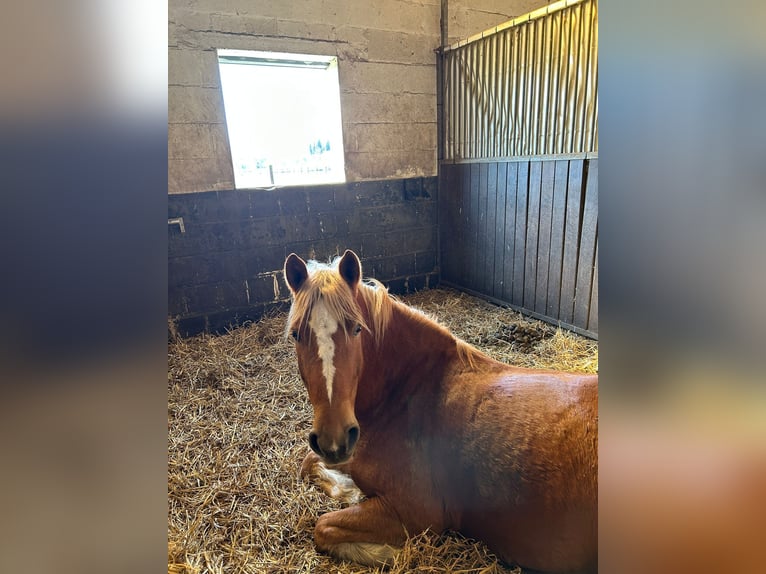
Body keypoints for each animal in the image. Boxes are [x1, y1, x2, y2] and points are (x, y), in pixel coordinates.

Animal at [283, 250, 598, 573]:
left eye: (357, 329)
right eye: (295, 334)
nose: (334, 440)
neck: (408, 389)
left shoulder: (414, 513)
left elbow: (323, 526)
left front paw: (386, 552)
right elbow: (308, 463)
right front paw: (350, 489)